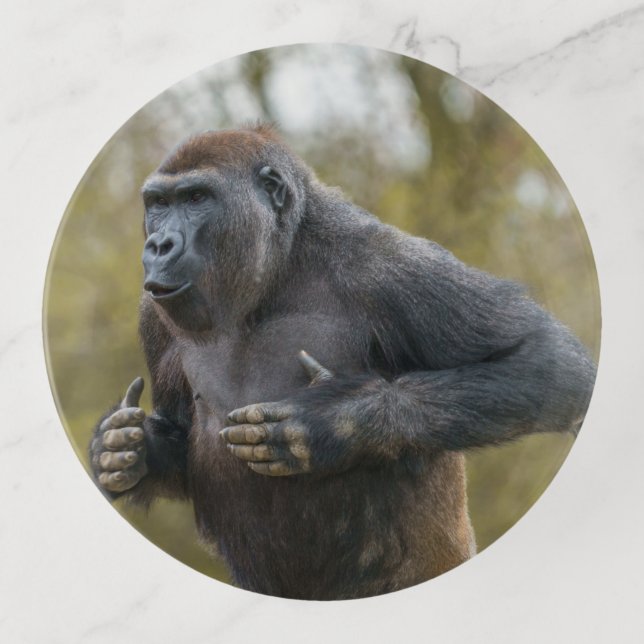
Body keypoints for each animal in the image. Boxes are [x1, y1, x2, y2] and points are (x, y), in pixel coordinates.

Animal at [89, 124, 596, 600]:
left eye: (197, 198)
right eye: (158, 203)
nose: (159, 244)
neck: (279, 268)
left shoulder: (390, 265)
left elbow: (549, 363)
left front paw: (334, 421)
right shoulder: (151, 316)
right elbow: (177, 439)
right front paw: (125, 448)